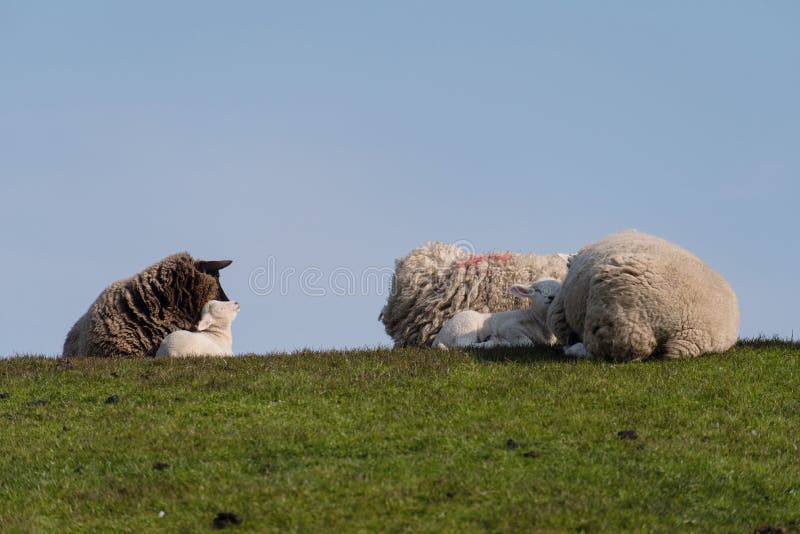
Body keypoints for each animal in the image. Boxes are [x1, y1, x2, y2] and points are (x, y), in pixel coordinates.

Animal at [433, 278, 561, 349]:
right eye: (537, 291)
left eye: (559, 289)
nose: (551, 297)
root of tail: (437, 339)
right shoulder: (509, 327)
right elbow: (527, 343)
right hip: (464, 328)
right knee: (463, 345)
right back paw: (494, 343)